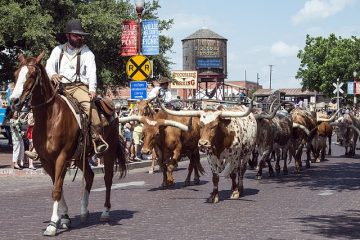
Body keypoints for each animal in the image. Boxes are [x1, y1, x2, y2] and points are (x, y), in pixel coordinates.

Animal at [10, 52, 126, 236]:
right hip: (80, 156)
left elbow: (57, 189)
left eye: (32, 75)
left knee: (107, 179)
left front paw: (52, 224)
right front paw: (64, 218)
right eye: (16, 74)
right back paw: (84, 212)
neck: (50, 117)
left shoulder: (61, 157)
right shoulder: (47, 161)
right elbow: (58, 187)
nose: (14, 101)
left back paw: (105, 213)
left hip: (108, 151)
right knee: (90, 176)